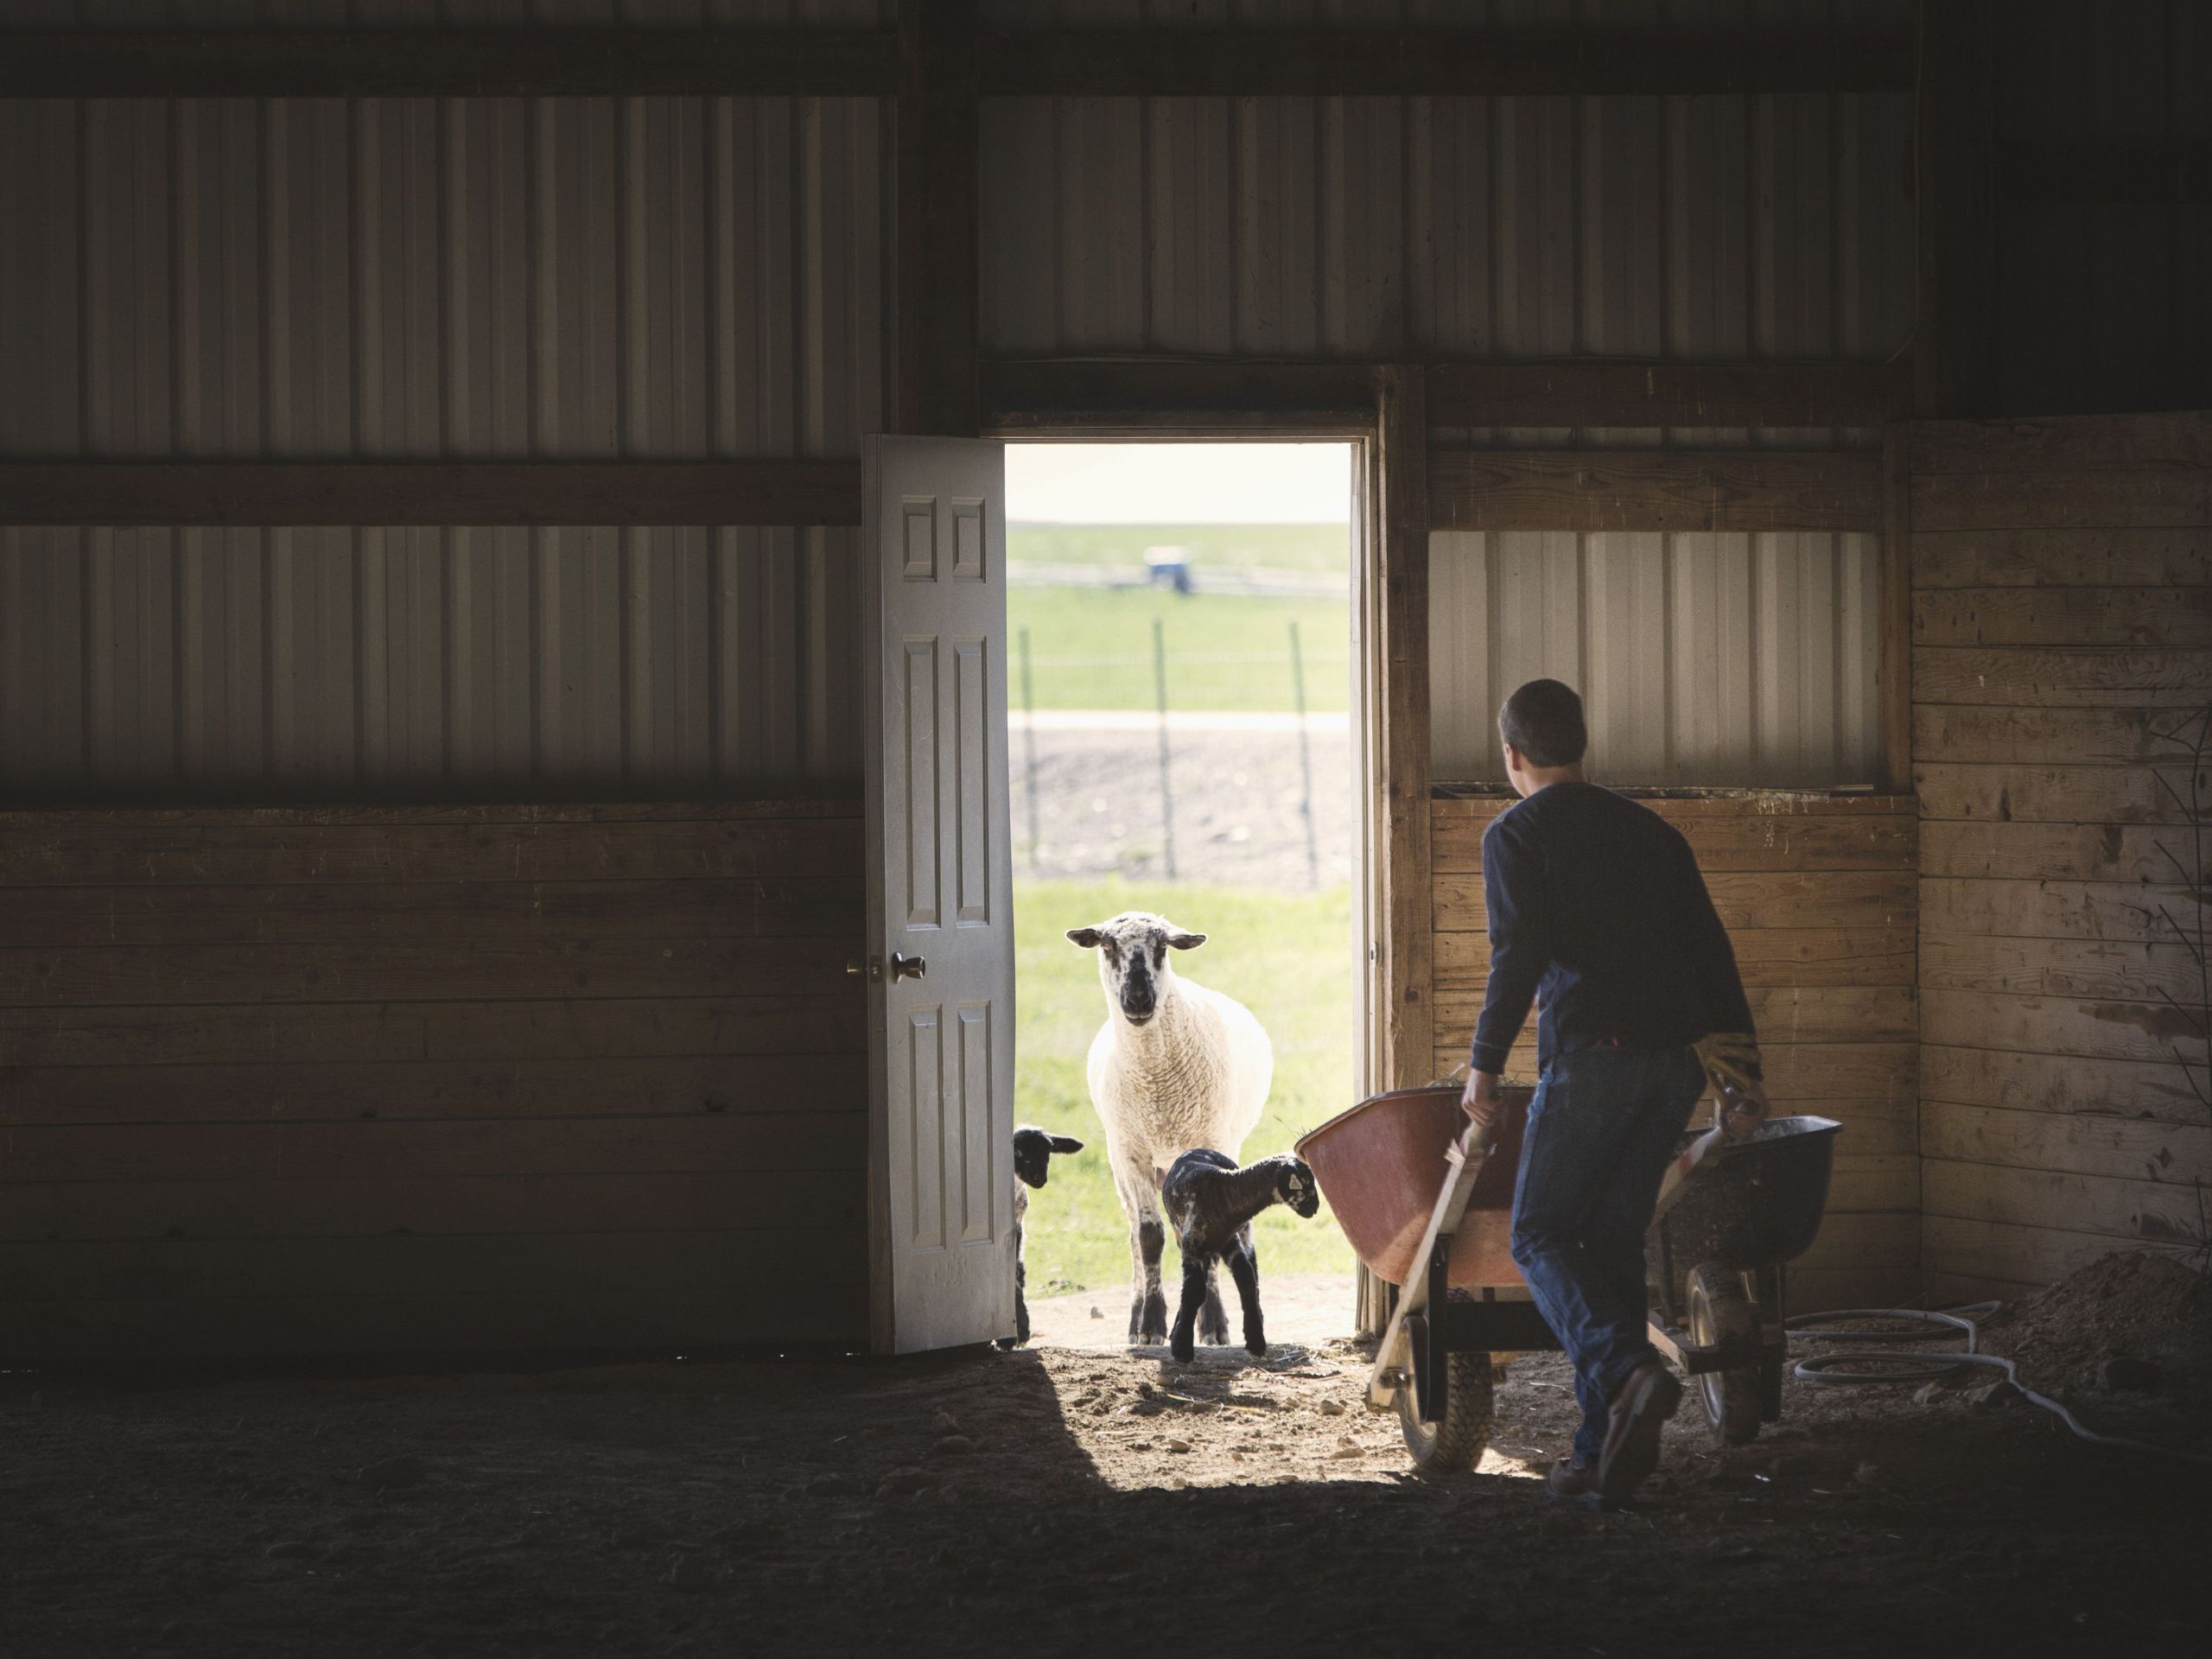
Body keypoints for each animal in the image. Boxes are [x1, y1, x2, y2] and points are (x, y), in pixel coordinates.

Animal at [1061, 911, 1274, 1353]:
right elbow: (1148, 1238)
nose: (1139, 1000)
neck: (1156, 1082)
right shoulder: (1130, 1154)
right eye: (1108, 947)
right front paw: (1150, 1326)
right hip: (1122, 1167)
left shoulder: (1209, 1143)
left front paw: (1213, 1325)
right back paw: (1135, 1317)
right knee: (1133, 1238)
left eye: (1162, 948)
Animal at [1159, 1150, 1309, 1371]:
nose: (1315, 1208)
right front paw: (1182, 1348)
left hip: (1243, 1233)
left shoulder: (1231, 1244)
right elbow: (1195, 1290)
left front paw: (1255, 1340)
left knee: (1252, 1268)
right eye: (1305, 1184)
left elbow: (1247, 1278)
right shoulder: (1192, 1245)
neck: (1224, 1189)